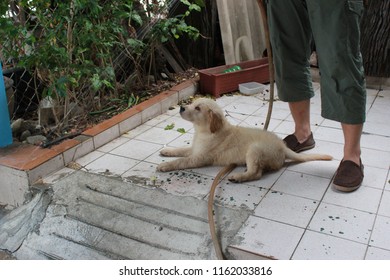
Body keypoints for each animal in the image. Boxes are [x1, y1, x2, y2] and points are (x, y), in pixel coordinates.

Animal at [156, 97, 332, 183]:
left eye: (198, 108)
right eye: (193, 103)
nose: (181, 108)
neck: (205, 131)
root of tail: (283, 147)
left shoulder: (200, 157)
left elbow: (181, 161)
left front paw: (165, 166)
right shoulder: (195, 148)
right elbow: (181, 150)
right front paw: (167, 151)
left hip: (255, 150)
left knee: (256, 173)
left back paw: (239, 177)